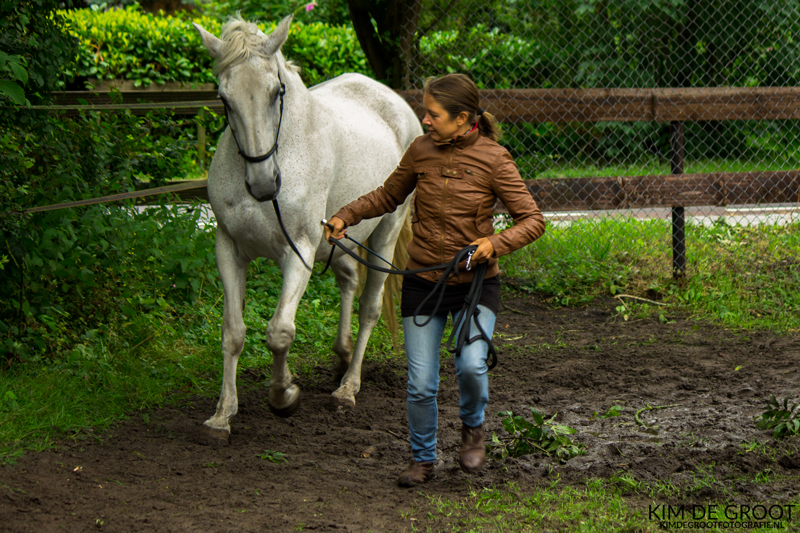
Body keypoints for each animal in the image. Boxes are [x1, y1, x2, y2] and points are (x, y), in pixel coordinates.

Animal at [192, 15, 422, 444]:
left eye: (276, 91)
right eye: (224, 99)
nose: (263, 184)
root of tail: (397, 103)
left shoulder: (297, 251)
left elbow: (280, 331)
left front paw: (284, 395)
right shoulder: (228, 249)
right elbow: (233, 332)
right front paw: (222, 415)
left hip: (386, 230)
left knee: (369, 307)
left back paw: (348, 388)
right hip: (339, 238)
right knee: (348, 280)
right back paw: (342, 355)